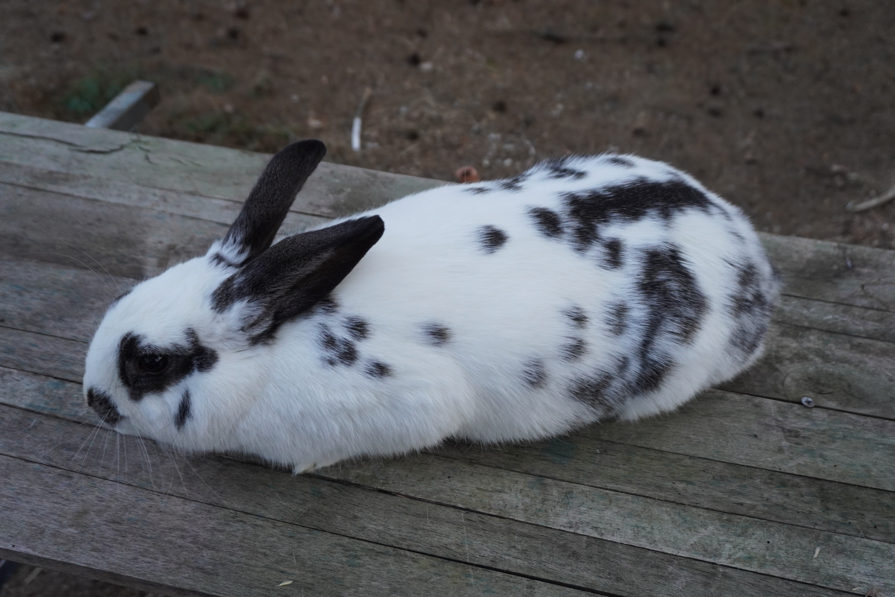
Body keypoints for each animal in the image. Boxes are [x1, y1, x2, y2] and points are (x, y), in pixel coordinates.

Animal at [83, 139, 779, 473]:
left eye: (151, 362)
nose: (93, 402)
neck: (285, 336)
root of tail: (751, 258)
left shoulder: (416, 402)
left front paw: (310, 463)